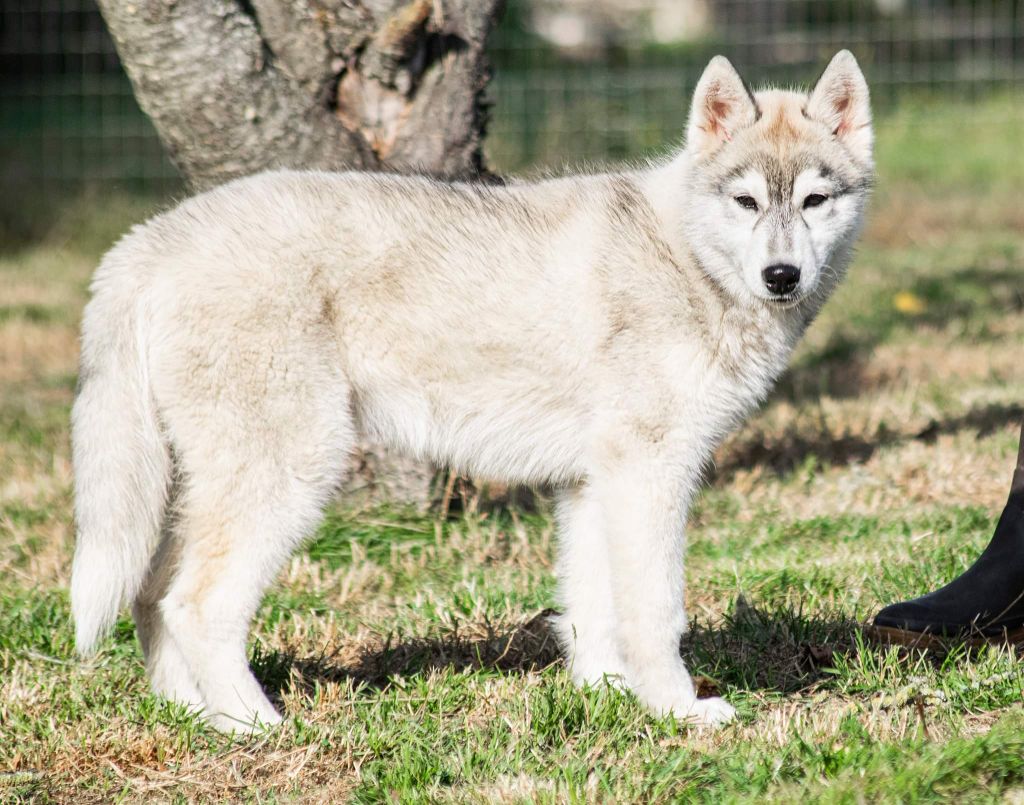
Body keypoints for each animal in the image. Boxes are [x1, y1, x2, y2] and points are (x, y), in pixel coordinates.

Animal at [70, 50, 872, 729]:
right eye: (745, 202)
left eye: (814, 200)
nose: (782, 277)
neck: (686, 258)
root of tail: (149, 240)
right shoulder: (651, 474)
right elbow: (654, 613)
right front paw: (679, 711)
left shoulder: (593, 485)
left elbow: (592, 613)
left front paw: (608, 700)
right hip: (290, 473)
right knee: (195, 604)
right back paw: (253, 724)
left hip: (203, 485)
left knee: (152, 595)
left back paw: (193, 717)